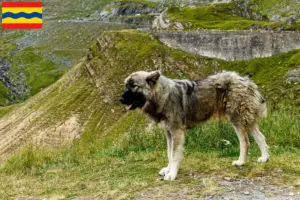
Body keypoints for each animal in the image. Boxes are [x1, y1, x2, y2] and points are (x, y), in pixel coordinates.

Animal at [119, 70, 270, 181]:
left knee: (245, 142)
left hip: (236, 119)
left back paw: (241, 162)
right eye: (126, 85)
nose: (120, 99)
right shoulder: (169, 133)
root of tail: (247, 80)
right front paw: (168, 169)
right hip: (247, 120)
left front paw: (172, 174)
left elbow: (175, 155)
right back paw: (264, 158)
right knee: (260, 137)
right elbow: (169, 154)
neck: (162, 95)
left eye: (134, 85)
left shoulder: (176, 132)